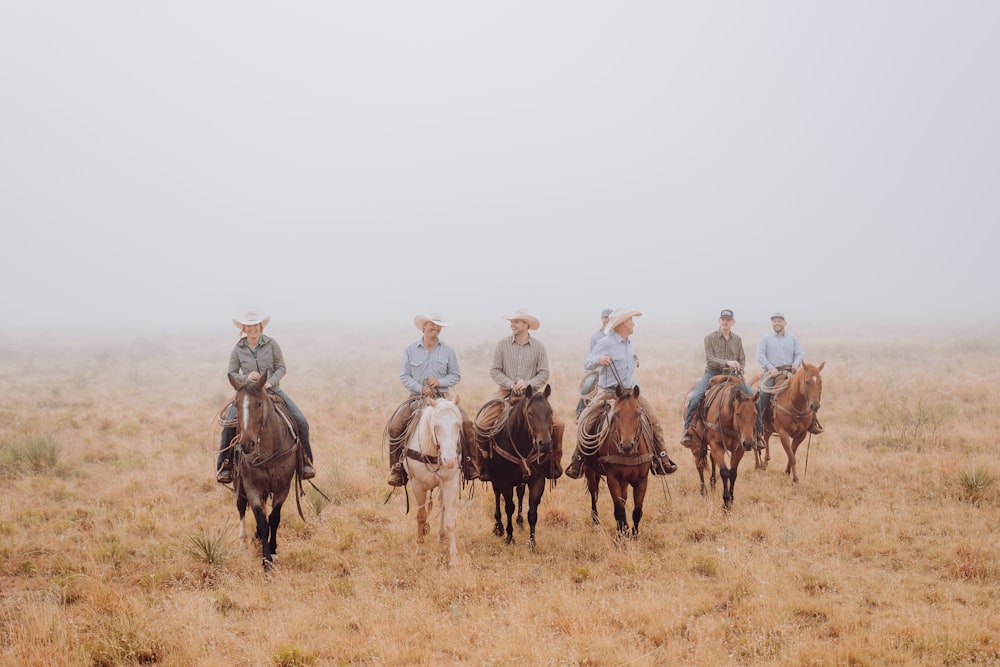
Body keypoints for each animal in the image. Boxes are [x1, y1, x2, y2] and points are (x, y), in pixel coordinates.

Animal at [229, 374, 304, 572]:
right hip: (238, 482)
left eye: (259, 404)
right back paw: (243, 541)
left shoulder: (283, 487)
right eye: (236, 404)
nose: (247, 444)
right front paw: (266, 562)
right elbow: (263, 523)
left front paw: (273, 552)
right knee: (240, 505)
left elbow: (274, 519)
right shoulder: (251, 487)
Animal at [402, 396, 464, 568]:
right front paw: (419, 549)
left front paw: (454, 558)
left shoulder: (450, 483)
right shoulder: (417, 485)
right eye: (436, 426)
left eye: (458, 425)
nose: (449, 461)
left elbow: (450, 520)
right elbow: (421, 516)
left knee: (442, 506)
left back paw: (441, 536)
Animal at [488, 384, 560, 552]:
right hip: (495, 479)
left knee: (520, 493)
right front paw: (509, 537)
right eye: (530, 412)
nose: (545, 444)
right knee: (497, 495)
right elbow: (509, 507)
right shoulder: (504, 481)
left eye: (550, 411)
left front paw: (532, 544)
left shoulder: (538, 480)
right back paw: (498, 527)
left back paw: (520, 523)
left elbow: (532, 512)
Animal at [584, 386, 652, 536]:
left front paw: (634, 534)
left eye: (638, 413)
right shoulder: (613, 479)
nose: (626, 446)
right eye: (616, 414)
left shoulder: (642, 479)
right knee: (593, 492)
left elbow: (637, 511)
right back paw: (595, 521)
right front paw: (621, 535)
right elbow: (619, 510)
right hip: (590, 470)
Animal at [688, 376, 756, 512]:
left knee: (711, 460)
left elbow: (733, 473)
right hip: (696, 445)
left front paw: (731, 501)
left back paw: (712, 483)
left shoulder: (739, 449)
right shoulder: (716, 446)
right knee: (699, 466)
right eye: (738, 414)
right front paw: (725, 503)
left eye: (755, 414)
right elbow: (725, 472)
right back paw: (704, 493)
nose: (748, 443)